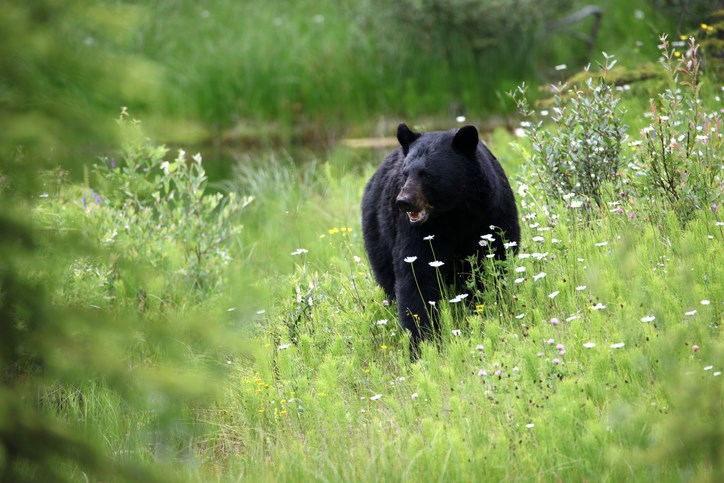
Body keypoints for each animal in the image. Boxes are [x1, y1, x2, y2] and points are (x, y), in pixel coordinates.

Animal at [362, 123, 520, 346]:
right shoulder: (417, 230)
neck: (454, 213)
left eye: (427, 174)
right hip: (378, 230)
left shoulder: (493, 216)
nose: (403, 201)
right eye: (405, 173)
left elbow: (492, 266)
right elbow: (416, 276)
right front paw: (422, 340)